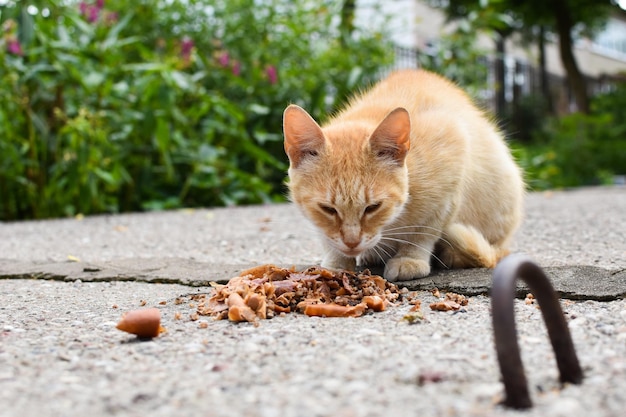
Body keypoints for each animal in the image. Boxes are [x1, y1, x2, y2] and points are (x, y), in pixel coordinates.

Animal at [282, 70, 520, 282]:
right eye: (328, 209)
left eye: (373, 207)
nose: (352, 243)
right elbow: (327, 237)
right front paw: (336, 264)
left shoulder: (450, 178)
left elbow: (423, 233)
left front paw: (410, 259)